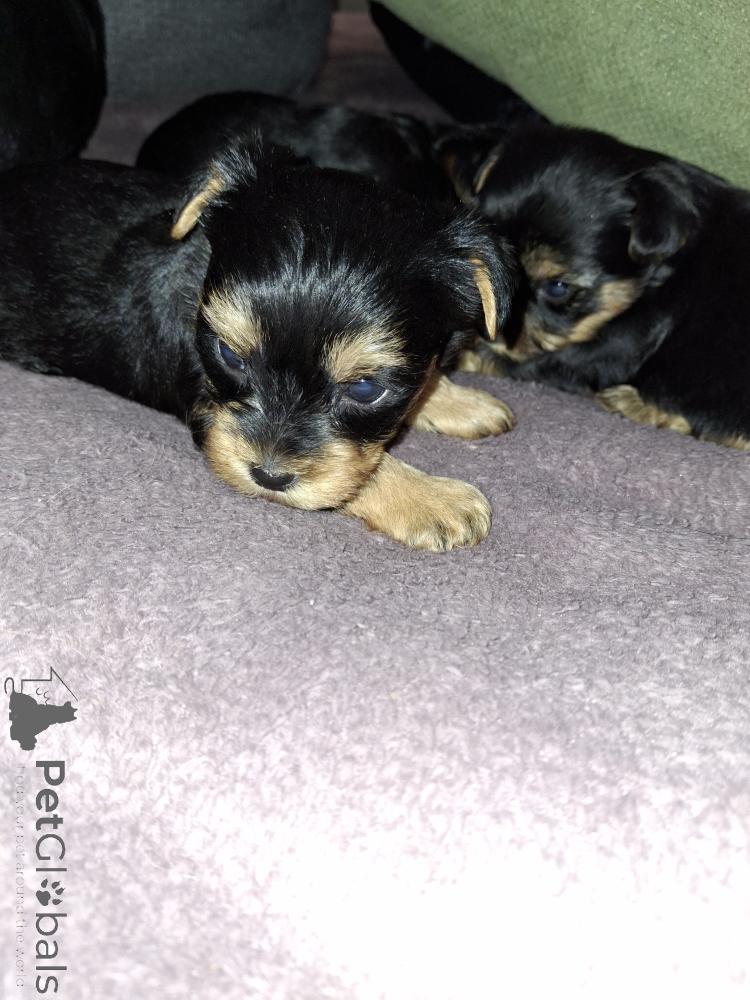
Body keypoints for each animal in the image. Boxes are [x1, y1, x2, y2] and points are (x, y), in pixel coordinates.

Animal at [0, 139, 517, 550]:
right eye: (230, 356)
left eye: (365, 389)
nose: (269, 476)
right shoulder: (207, 406)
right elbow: (359, 475)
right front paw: (433, 498)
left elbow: (424, 378)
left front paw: (461, 401)